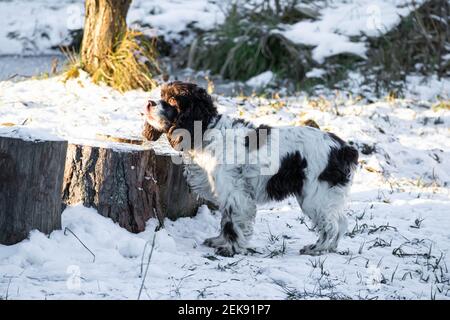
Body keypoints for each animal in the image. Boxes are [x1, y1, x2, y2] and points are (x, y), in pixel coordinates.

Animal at [142, 81, 358, 256]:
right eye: (161, 96)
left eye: (172, 100)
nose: (149, 103)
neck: (206, 131)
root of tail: (345, 149)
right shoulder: (227, 191)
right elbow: (225, 219)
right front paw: (218, 241)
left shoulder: (235, 192)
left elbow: (232, 222)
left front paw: (230, 249)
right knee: (341, 222)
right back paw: (330, 248)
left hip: (316, 196)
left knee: (331, 226)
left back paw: (317, 249)